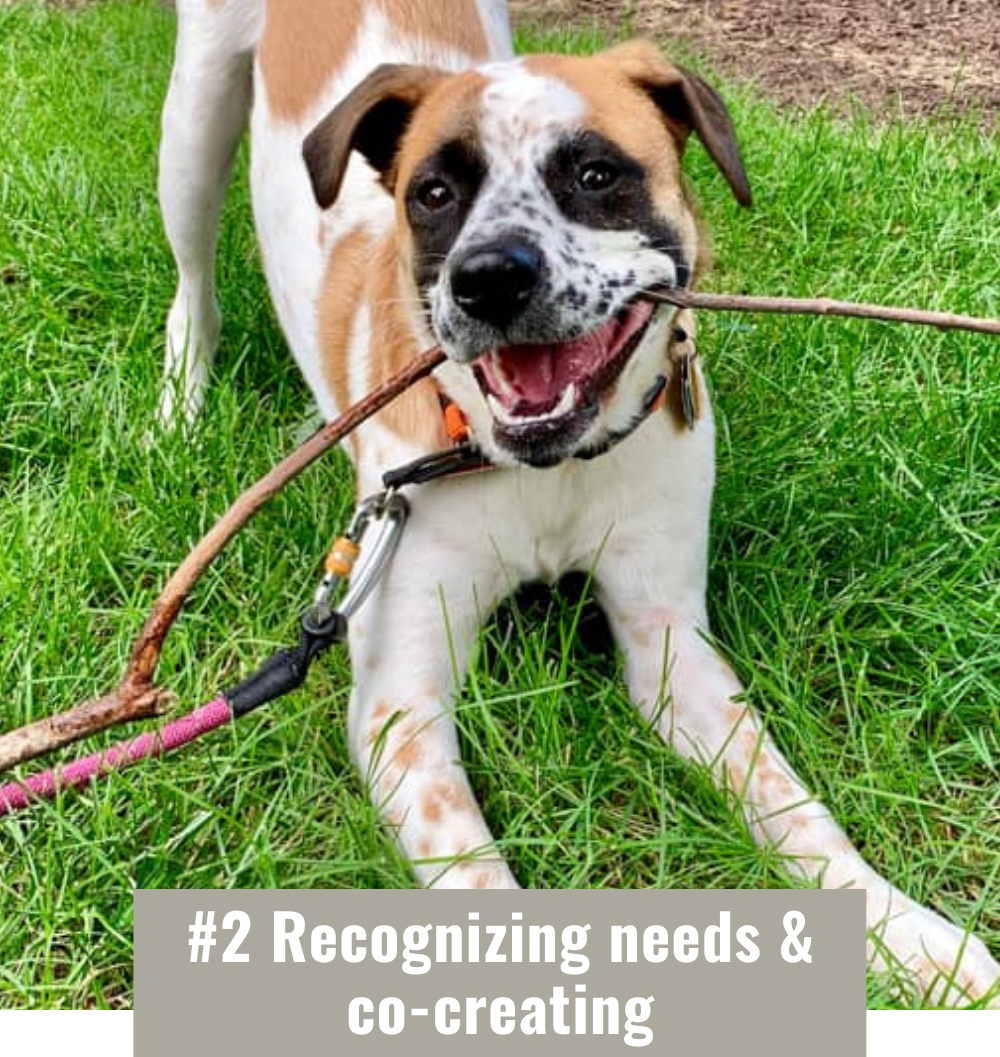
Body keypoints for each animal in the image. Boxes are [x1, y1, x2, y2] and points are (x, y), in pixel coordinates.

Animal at [159, 0, 993, 1006]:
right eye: (433, 193)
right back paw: (179, 406)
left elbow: (794, 805)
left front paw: (915, 939)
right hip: (194, 121)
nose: (487, 277)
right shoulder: (402, 708)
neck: (541, 473)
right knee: (193, 281)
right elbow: (479, 878)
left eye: (595, 174)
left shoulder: (675, 651)